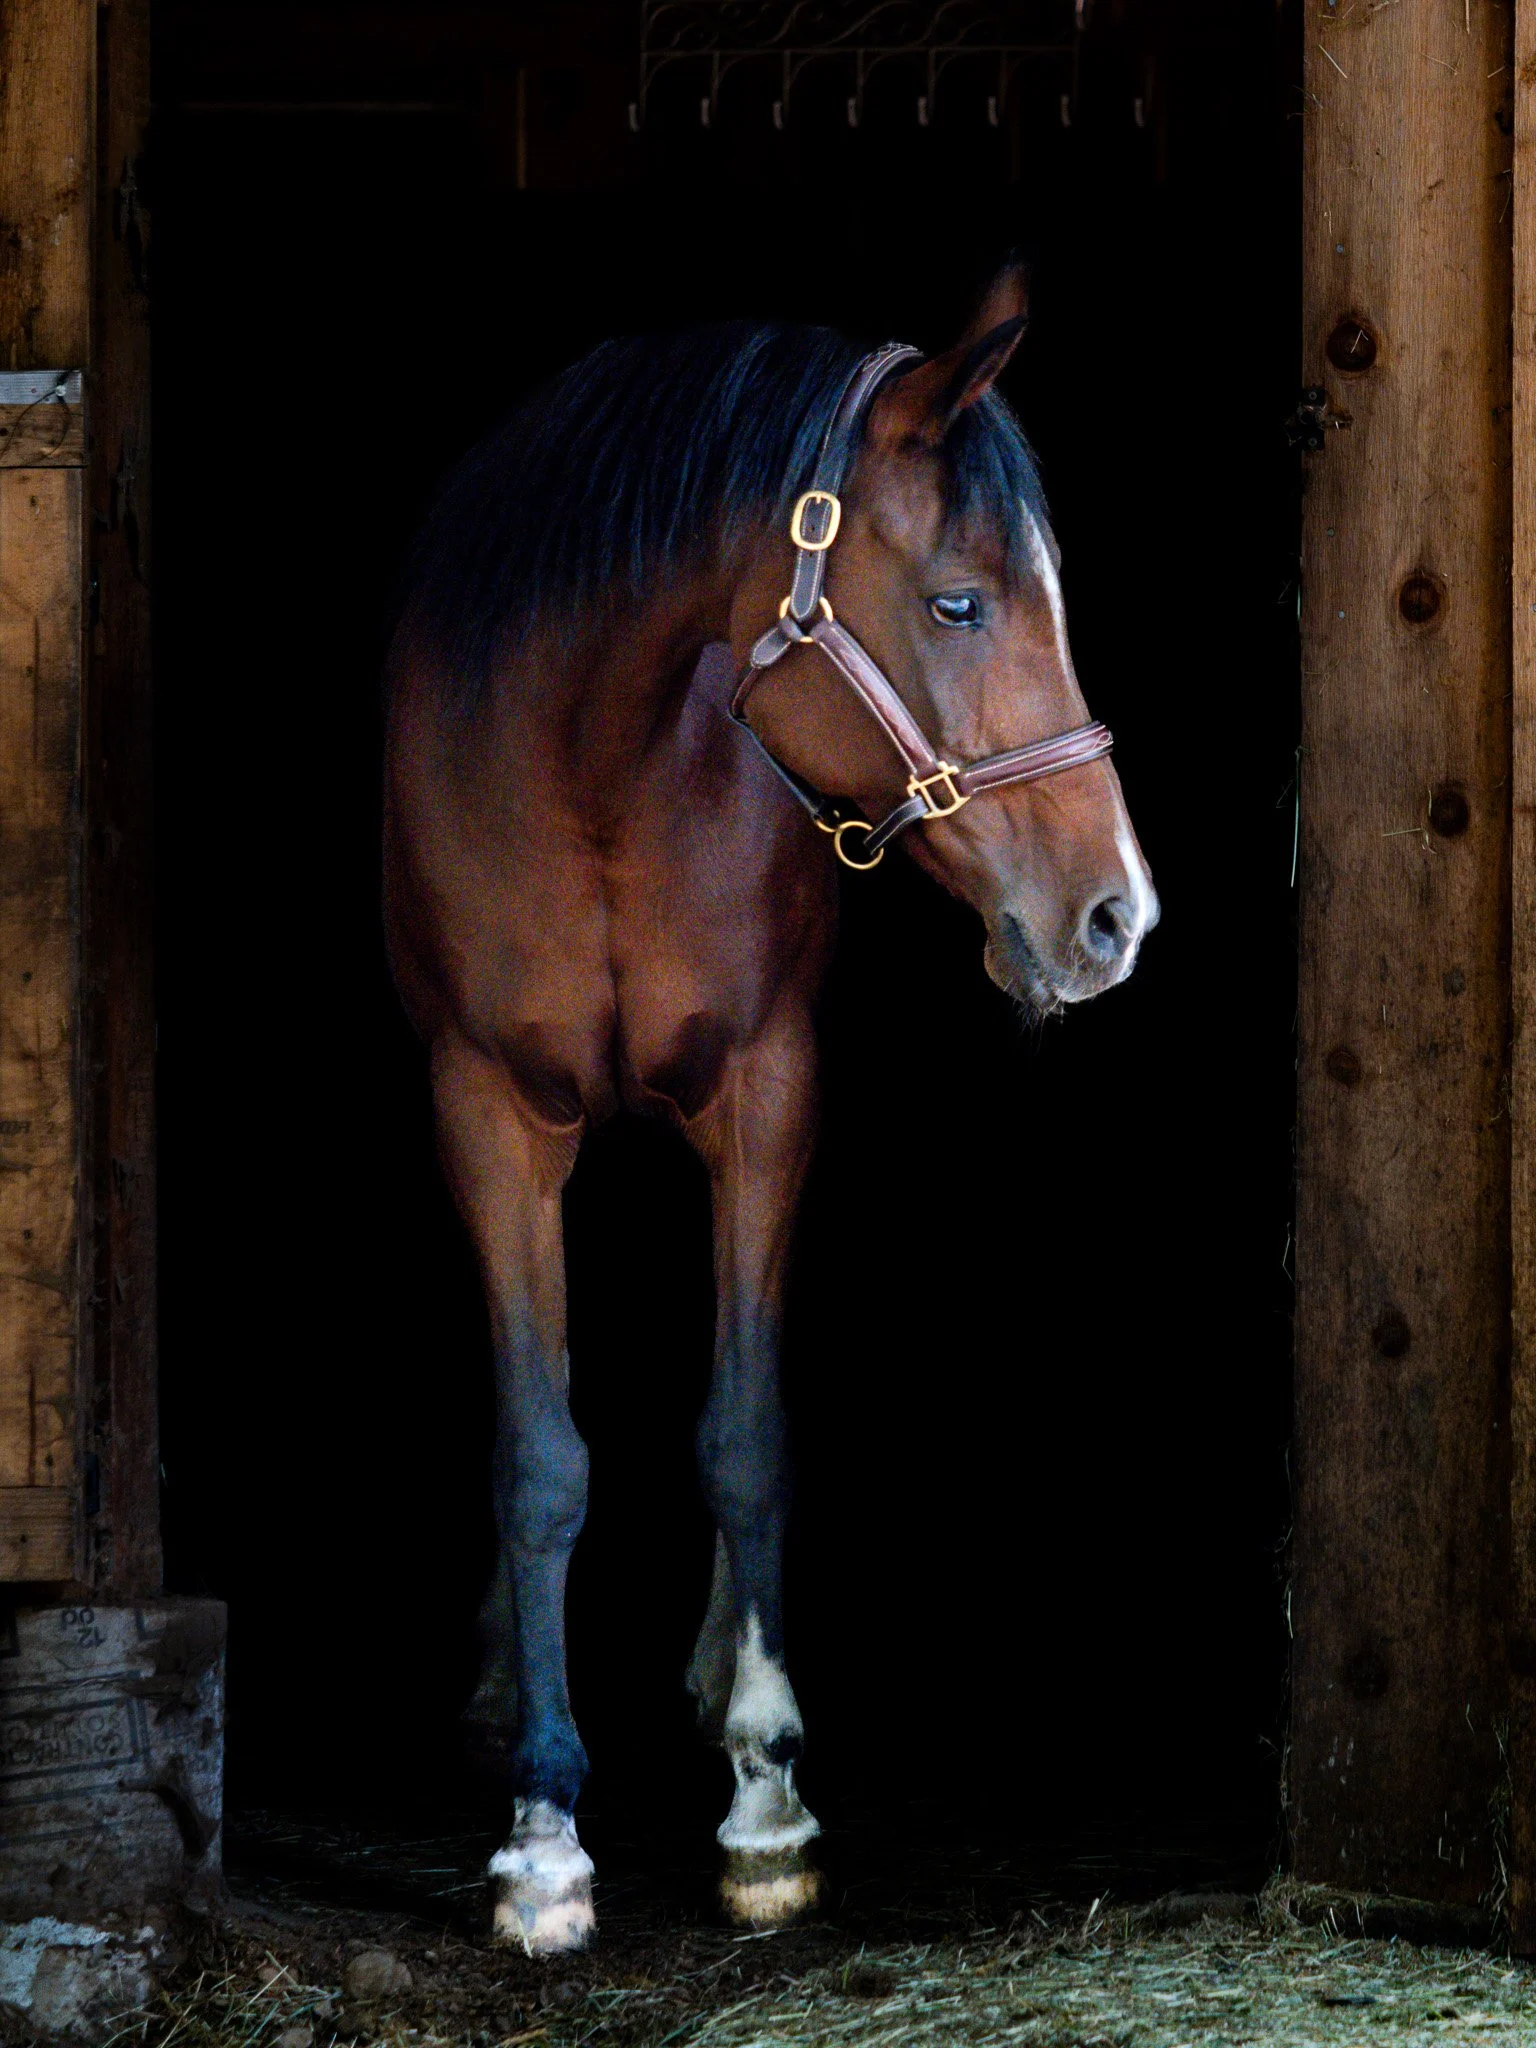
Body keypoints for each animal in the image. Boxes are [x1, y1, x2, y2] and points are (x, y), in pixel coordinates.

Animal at [383, 263, 1157, 1956]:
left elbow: (746, 1435)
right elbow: (540, 1455)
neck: (595, 770)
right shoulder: (488, 1113)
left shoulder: (767, 1097)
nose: (1117, 917)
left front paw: (766, 1796)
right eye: (957, 602)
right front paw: (542, 1834)